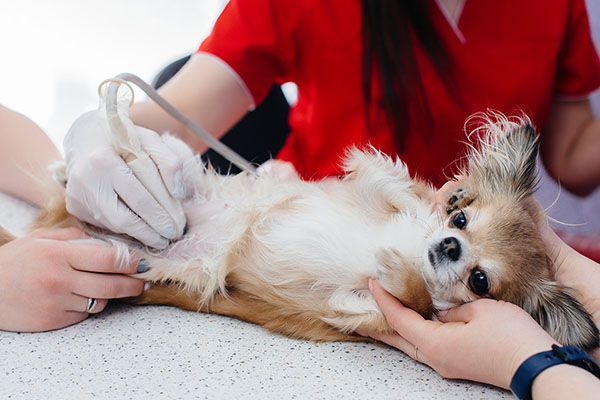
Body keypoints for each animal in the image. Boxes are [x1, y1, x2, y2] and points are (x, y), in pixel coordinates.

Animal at [5, 114, 600, 348]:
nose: (448, 243)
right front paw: (434, 194)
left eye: (481, 281)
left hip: (146, 263)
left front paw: (399, 271)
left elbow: (410, 298)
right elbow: (391, 179)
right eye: (460, 221)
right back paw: (90, 154)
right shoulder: (368, 187)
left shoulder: (354, 310)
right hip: (173, 175)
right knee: (151, 160)